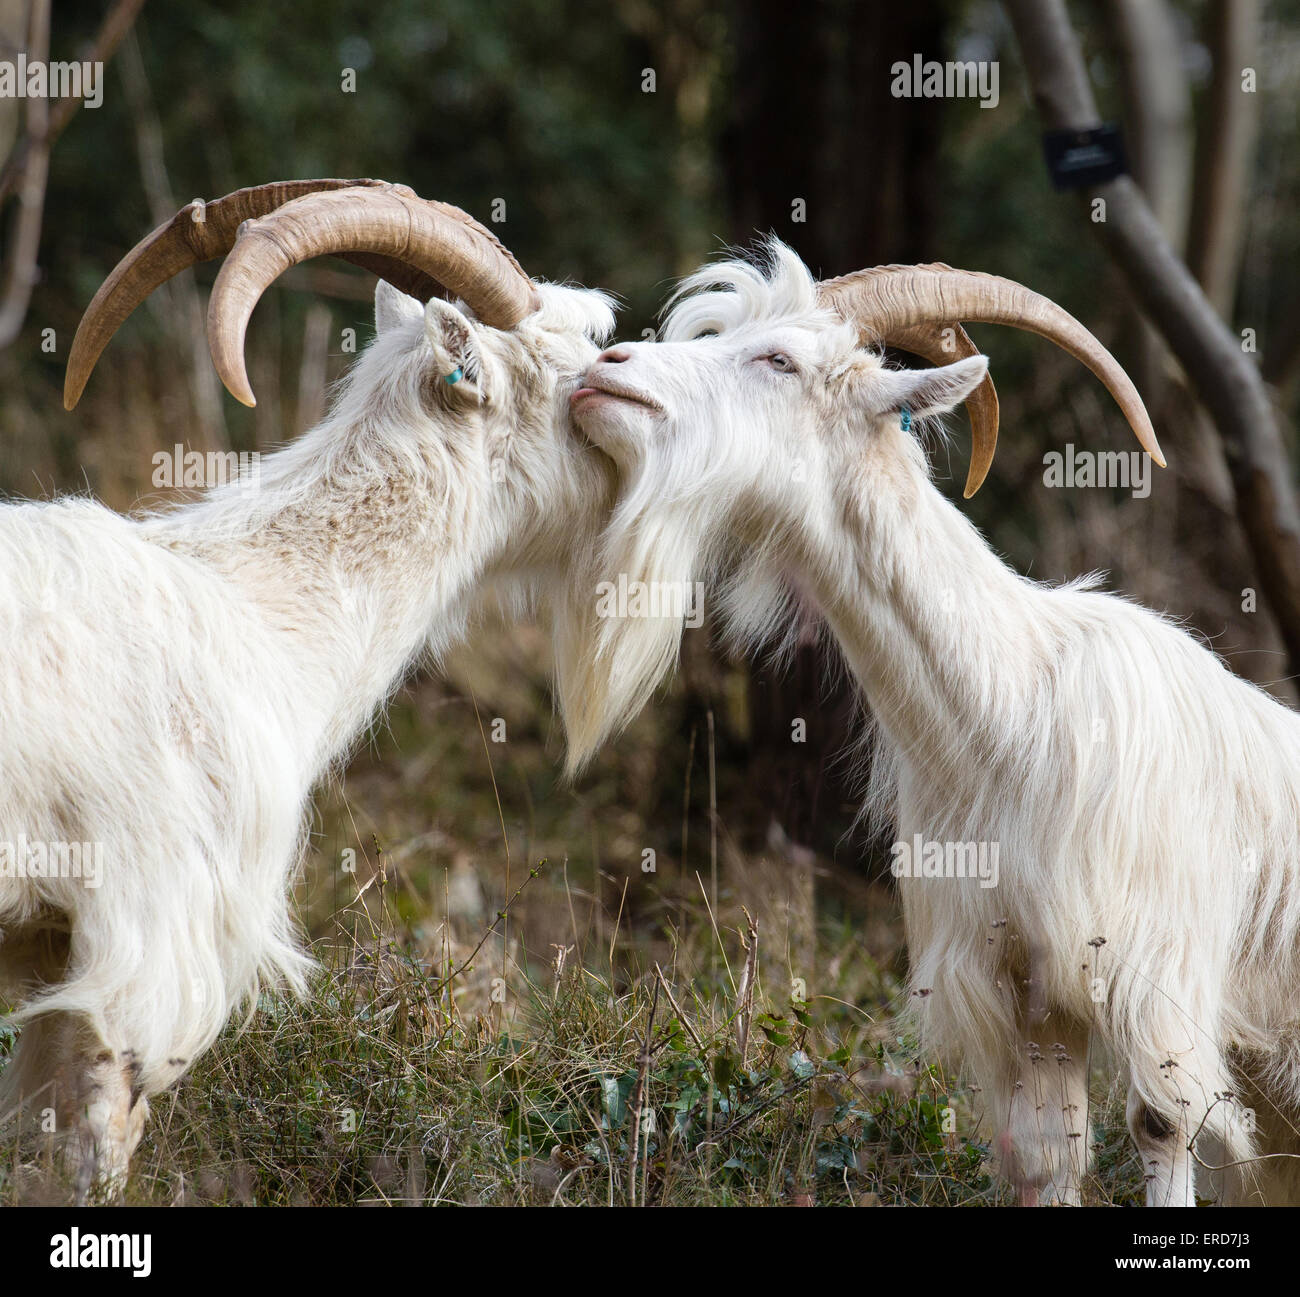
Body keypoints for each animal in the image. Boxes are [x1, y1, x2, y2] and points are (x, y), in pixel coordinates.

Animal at [566, 244, 1300, 1206]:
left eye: (780, 361)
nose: (602, 370)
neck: (1012, 715)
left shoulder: (1155, 976)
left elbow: (1161, 1123)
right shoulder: (1018, 985)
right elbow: (1045, 1152)